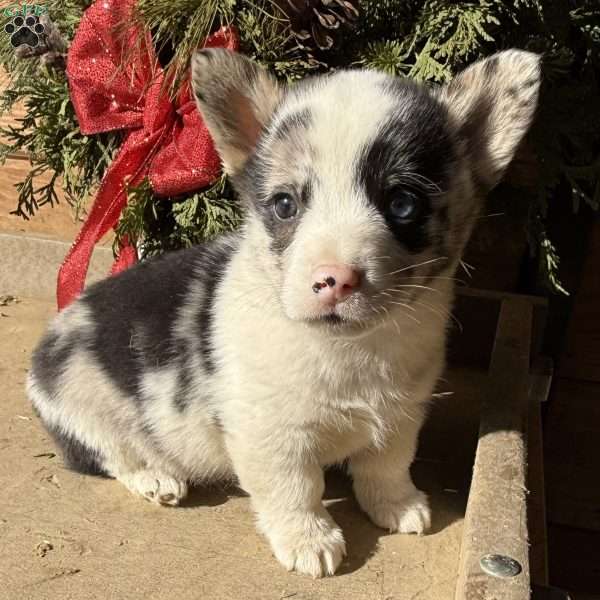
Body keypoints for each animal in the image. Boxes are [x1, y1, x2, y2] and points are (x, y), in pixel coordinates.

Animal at [27, 50, 540, 576]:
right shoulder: (271, 436)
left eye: (402, 203)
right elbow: (295, 490)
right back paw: (156, 477)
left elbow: (387, 465)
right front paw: (309, 540)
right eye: (285, 204)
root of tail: (47, 348)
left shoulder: (400, 416)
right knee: (114, 452)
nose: (335, 279)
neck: (349, 350)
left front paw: (397, 506)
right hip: (87, 403)